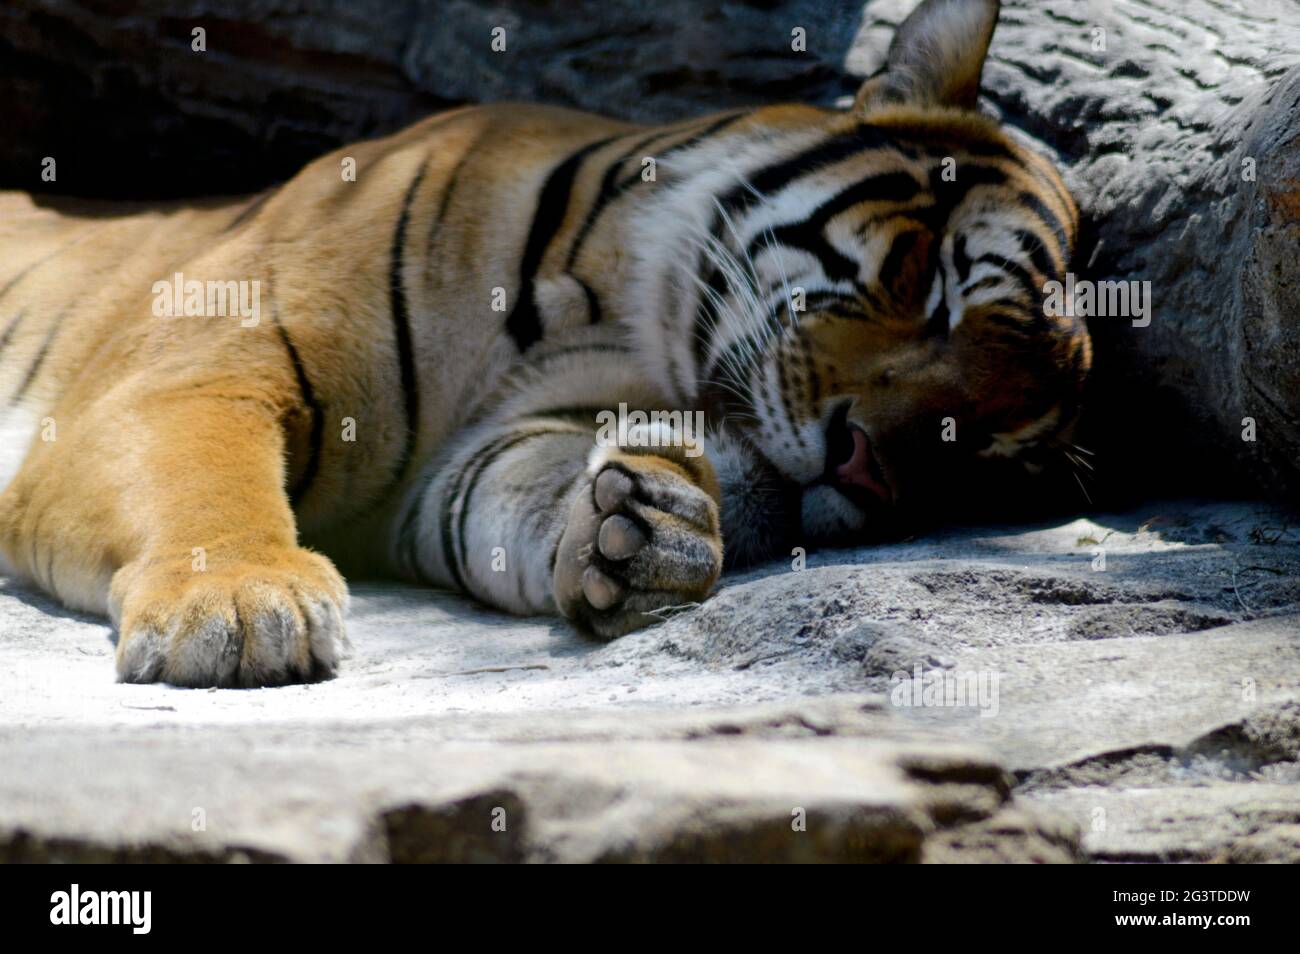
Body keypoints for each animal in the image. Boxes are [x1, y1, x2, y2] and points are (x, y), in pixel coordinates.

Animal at [0, 0, 1089, 687]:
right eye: (931, 282)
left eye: (988, 446)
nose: (867, 472)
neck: (605, 306)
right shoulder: (196, 370)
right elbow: (203, 480)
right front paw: (236, 606)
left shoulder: (461, 467)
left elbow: (512, 498)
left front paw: (648, 531)